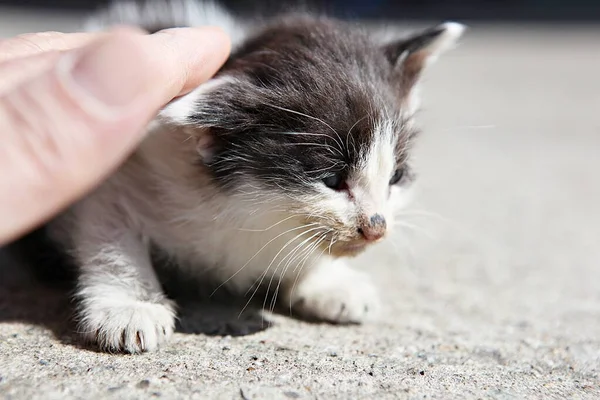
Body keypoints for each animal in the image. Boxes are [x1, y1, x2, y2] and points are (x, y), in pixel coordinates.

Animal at [44, 0, 466, 354]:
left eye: (395, 177)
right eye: (331, 179)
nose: (376, 229)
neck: (236, 208)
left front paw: (328, 282)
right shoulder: (117, 171)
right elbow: (114, 237)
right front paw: (130, 307)